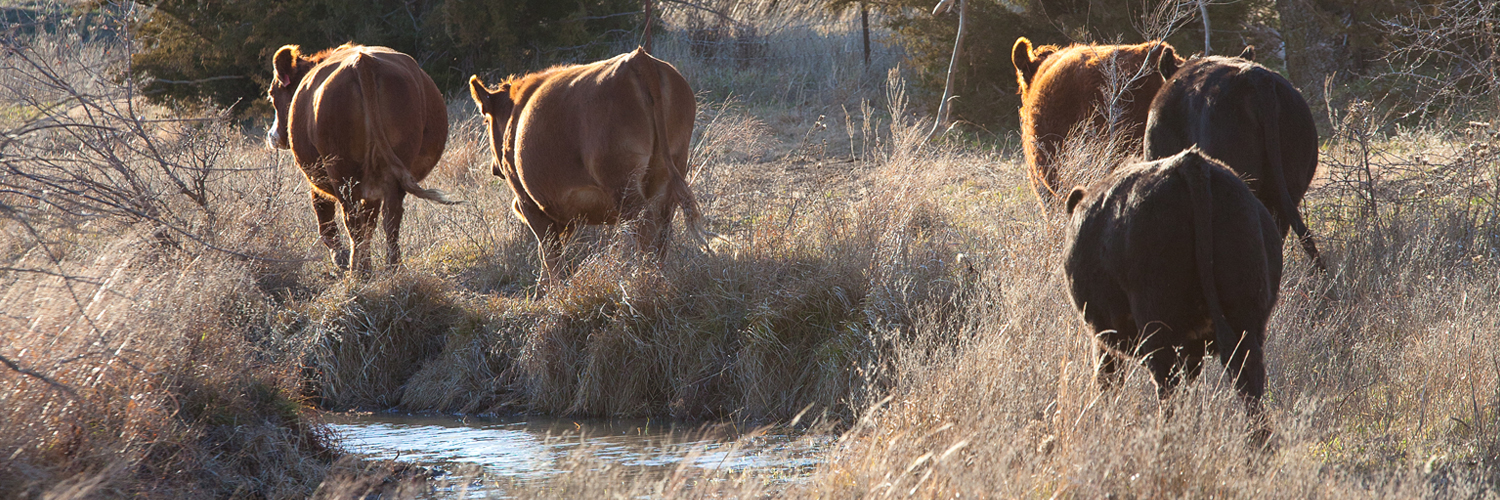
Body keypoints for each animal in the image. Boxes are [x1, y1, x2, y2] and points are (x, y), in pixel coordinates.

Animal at [266, 43, 456, 274]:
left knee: (352, 220)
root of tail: (363, 62)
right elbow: (371, 222)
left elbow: (326, 222)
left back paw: (357, 273)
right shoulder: (372, 189)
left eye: (272, 94)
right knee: (390, 218)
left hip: (341, 172)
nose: (273, 135)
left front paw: (340, 261)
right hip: (394, 169)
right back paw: (392, 268)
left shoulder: (316, 180)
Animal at [468, 48, 713, 283]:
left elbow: (549, 256)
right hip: (666, 179)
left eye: (486, 119)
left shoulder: (528, 202)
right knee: (662, 232)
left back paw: (644, 279)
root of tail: (639, 59)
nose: (494, 169)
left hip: (624, 187)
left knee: (644, 229)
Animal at [1064, 149, 1281, 424]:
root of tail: (1191, 164)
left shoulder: (1101, 334)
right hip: (1246, 321)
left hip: (1156, 325)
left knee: (1166, 384)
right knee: (1249, 380)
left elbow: (1108, 380)